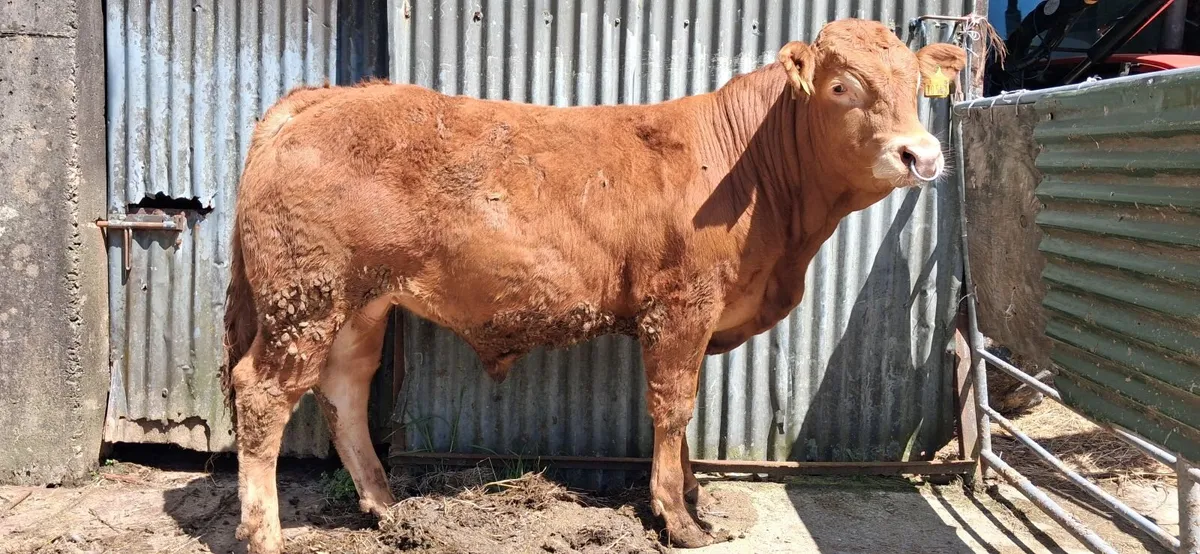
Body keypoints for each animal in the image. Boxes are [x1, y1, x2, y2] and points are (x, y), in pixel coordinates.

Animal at [221, 18, 967, 553]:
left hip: (358, 302)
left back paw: (386, 507)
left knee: (344, 390)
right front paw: (679, 520)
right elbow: (672, 408)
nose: (922, 154)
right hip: (305, 295)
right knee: (261, 394)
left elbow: (683, 413)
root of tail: (316, 98)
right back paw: (265, 536)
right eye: (842, 87)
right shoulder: (679, 306)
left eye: (913, 83)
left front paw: (694, 502)